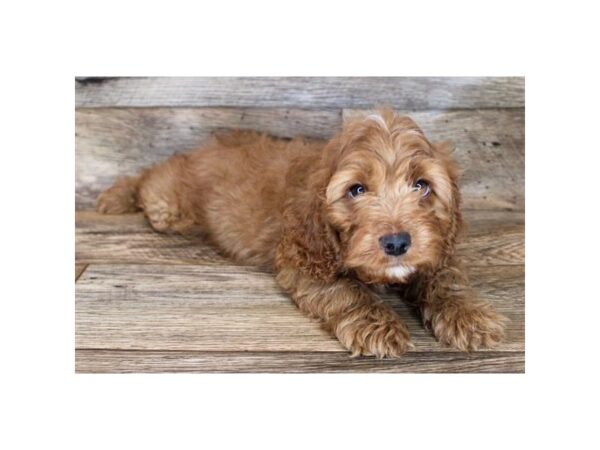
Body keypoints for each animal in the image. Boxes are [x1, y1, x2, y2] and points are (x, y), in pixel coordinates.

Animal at [97, 110, 506, 358]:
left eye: (421, 185)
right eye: (357, 190)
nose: (396, 243)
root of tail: (201, 148)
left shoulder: (437, 247)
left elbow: (444, 275)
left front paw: (467, 315)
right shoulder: (301, 258)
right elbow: (344, 289)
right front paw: (377, 324)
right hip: (170, 206)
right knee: (149, 180)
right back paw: (118, 193)